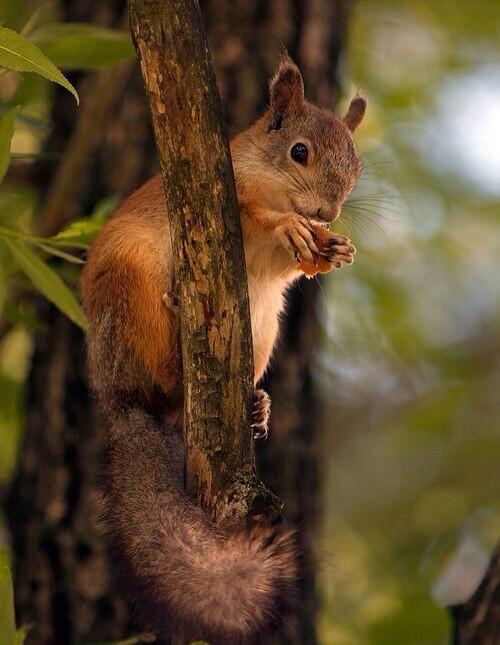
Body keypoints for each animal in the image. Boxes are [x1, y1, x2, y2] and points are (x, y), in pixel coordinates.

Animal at [80, 55, 366, 640]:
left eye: (359, 168)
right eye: (299, 151)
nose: (327, 213)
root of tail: (121, 402)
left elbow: (295, 267)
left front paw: (334, 249)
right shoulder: (230, 194)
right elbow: (257, 217)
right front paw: (292, 227)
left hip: (264, 326)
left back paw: (257, 406)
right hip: (128, 288)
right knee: (161, 372)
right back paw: (174, 322)